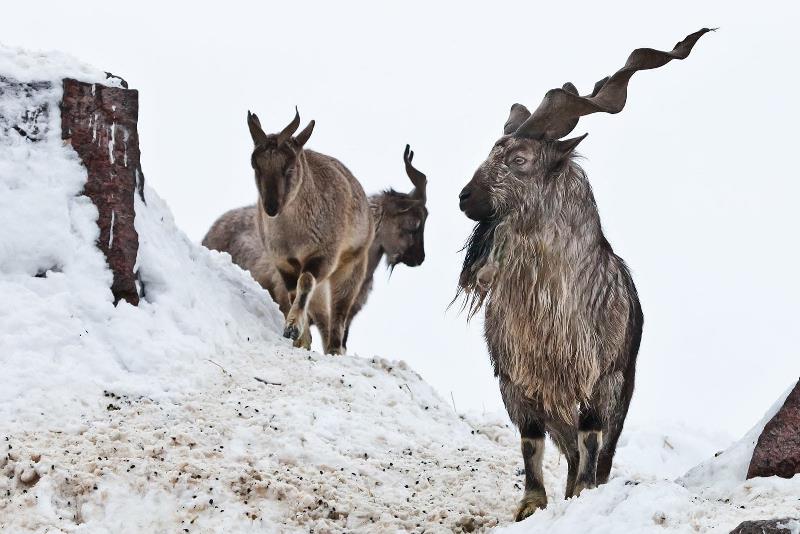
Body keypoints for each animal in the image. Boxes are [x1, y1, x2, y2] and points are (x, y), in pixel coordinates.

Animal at [456, 30, 712, 524]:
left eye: (519, 159)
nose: (465, 197)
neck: (552, 305)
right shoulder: (517, 383)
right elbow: (530, 442)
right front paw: (531, 504)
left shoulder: (603, 378)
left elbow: (592, 439)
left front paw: (581, 495)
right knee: (567, 447)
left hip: (622, 387)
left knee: (597, 449)